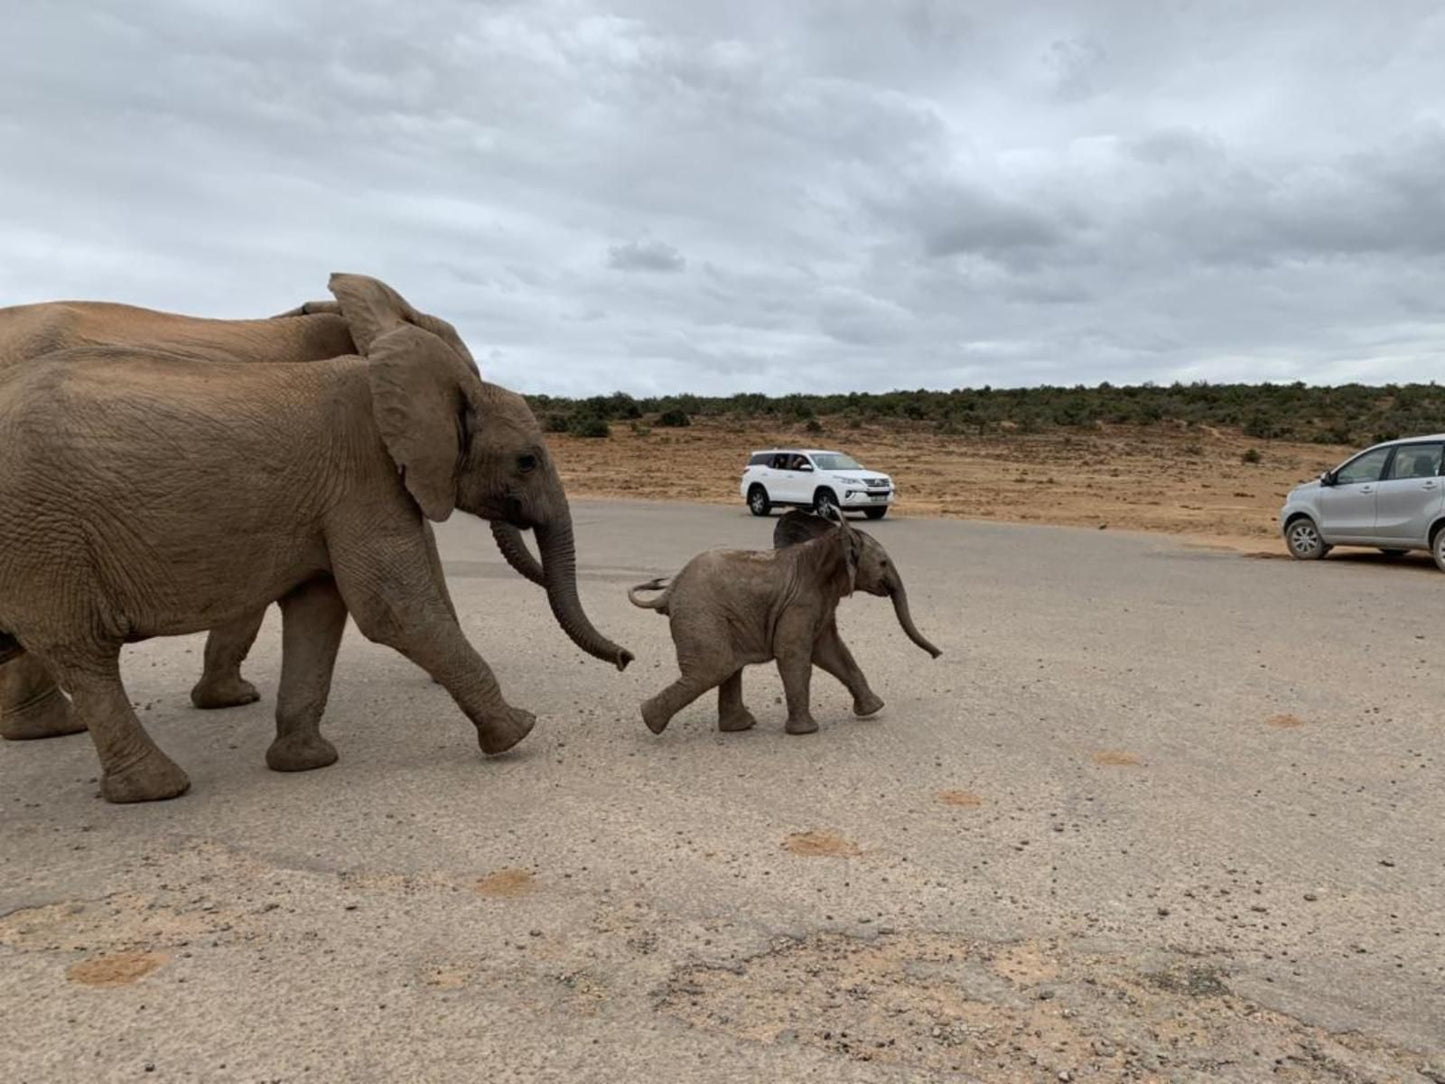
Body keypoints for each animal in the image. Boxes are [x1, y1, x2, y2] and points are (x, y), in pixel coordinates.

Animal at [0, 270, 632, 797]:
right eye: (527, 461)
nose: (627, 659)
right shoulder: (362, 469)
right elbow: (390, 605)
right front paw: (519, 731)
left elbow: (319, 608)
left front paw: (298, 756)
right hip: (44, 535)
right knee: (81, 649)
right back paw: (149, 783)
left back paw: (54, 733)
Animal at [630, 511, 942, 740]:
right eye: (883, 563)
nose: (937, 655)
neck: (828, 542)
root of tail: (669, 590)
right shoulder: (798, 604)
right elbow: (795, 655)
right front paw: (806, 732)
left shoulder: (818, 602)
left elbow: (833, 653)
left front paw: (873, 710)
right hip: (701, 613)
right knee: (713, 668)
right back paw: (650, 721)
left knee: (727, 667)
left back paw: (738, 726)